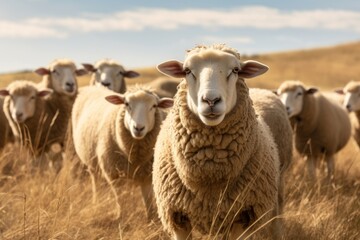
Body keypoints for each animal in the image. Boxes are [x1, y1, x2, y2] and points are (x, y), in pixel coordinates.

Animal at [70, 85, 174, 220]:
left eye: (154, 106)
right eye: (126, 104)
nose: (138, 128)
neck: (135, 157)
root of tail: (93, 86)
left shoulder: (147, 175)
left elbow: (148, 201)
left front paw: (151, 219)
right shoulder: (114, 174)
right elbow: (120, 200)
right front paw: (122, 217)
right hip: (91, 164)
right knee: (95, 183)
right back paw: (96, 201)